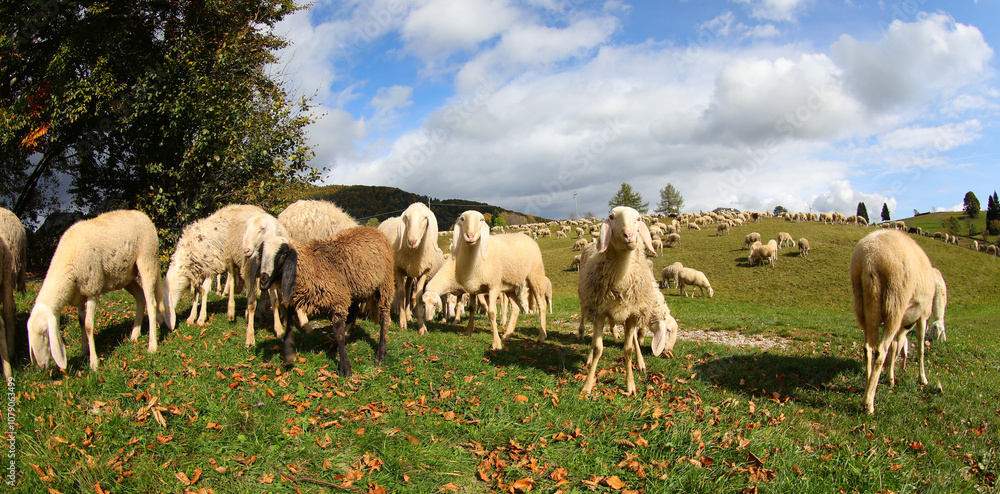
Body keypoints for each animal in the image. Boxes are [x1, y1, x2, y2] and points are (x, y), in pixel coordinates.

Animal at [27, 210, 170, 371]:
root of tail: (143, 215)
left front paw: (94, 363)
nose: (41, 366)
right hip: (125, 275)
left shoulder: (92, 289)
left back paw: (152, 346)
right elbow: (81, 322)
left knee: (151, 303)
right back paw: (135, 334)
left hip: (147, 258)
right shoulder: (80, 293)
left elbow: (89, 326)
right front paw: (84, 351)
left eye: (44, 333)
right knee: (140, 297)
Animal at [258, 227, 393, 377]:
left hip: (385, 285)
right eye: (261, 253)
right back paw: (339, 346)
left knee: (384, 316)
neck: (312, 266)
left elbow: (337, 332)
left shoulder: (339, 301)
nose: (263, 281)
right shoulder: (298, 299)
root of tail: (374, 230)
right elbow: (290, 326)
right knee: (354, 312)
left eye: (284, 254)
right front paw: (288, 353)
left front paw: (345, 368)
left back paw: (380, 354)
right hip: (354, 290)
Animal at [421, 210, 548, 350]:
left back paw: (541, 336)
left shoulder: (492, 287)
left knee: (542, 304)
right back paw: (507, 335)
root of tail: (527, 237)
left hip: (535, 274)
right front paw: (468, 331)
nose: (470, 236)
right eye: (462, 219)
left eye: (481, 219)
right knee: (516, 307)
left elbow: (491, 312)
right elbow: (471, 308)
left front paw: (496, 343)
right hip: (510, 285)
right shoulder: (471, 288)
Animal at [577, 206, 661, 396]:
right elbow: (598, 348)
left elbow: (628, 349)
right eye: (611, 217)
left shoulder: (632, 315)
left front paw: (630, 385)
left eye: (638, 218)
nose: (629, 235)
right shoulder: (599, 311)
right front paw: (587, 385)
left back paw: (641, 362)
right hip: (589, 304)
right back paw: (589, 358)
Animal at [850, 230, 936, 414]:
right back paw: (868, 404)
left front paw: (890, 377)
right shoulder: (923, 315)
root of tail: (870, 259)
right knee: (880, 351)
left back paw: (868, 386)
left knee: (868, 349)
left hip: (864, 305)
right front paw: (922, 379)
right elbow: (920, 349)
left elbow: (895, 347)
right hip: (895, 303)